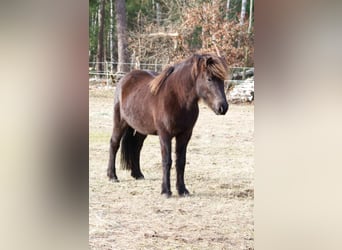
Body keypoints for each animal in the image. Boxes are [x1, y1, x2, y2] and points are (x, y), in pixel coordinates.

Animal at [107, 52, 230, 197]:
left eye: (222, 80)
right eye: (209, 79)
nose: (223, 107)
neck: (177, 99)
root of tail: (124, 79)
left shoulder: (185, 135)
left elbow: (180, 161)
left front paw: (182, 190)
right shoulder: (165, 135)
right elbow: (167, 161)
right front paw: (166, 191)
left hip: (142, 130)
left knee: (136, 147)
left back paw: (137, 174)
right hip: (120, 122)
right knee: (114, 144)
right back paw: (112, 176)